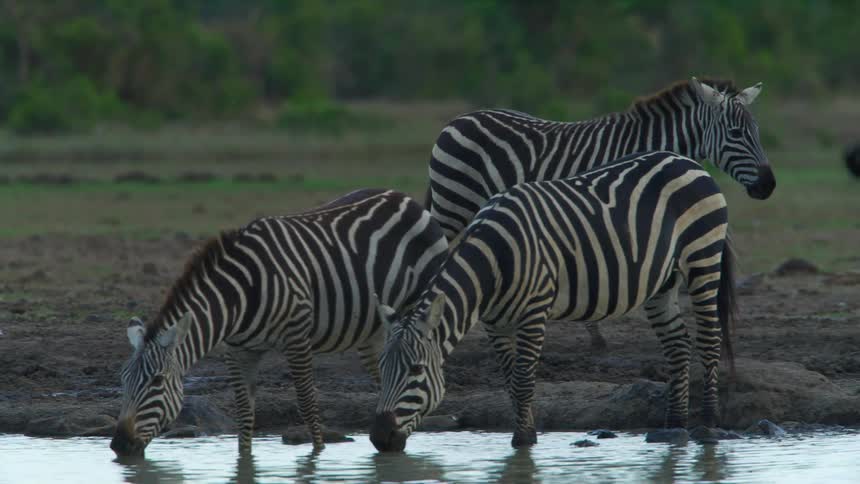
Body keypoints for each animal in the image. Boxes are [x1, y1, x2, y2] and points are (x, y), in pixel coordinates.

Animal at [110, 188, 448, 457]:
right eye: (123, 381)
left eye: (156, 382)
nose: (118, 445)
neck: (238, 298)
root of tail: (402, 197)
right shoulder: (238, 351)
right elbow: (244, 413)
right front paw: (244, 460)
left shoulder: (297, 337)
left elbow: (307, 403)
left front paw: (318, 454)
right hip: (374, 331)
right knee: (384, 377)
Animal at [370, 151, 737, 451]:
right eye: (382, 368)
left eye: (416, 370)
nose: (379, 438)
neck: (494, 261)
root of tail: (687, 161)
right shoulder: (494, 323)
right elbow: (510, 380)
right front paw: (528, 433)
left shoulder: (534, 312)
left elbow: (522, 380)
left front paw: (522, 441)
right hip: (663, 280)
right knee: (678, 344)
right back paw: (674, 425)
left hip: (703, 256)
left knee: (709, 338)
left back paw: (708, 424)